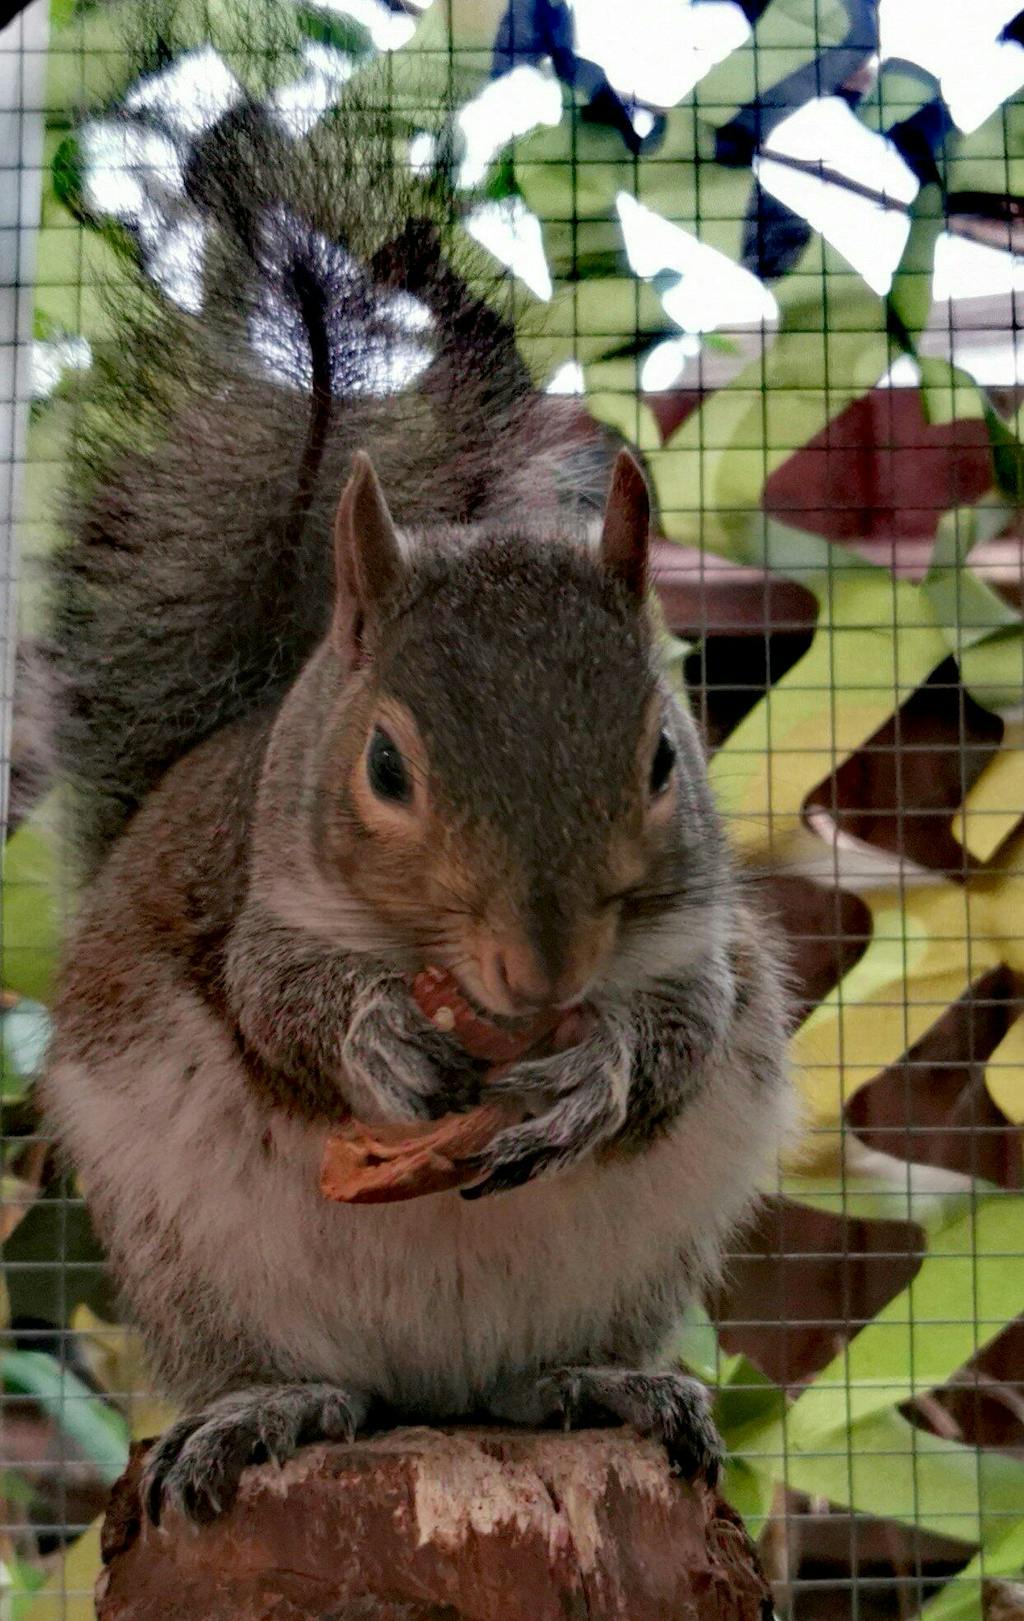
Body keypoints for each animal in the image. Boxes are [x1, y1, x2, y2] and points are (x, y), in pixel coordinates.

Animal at [40, 63, 795, 1527]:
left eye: (662, 755)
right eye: (385, 767)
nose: (541, 967)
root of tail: (433, 1393)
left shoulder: (700, 937)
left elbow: (685, 1028)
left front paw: (598, 1070)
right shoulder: (262, 910)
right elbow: (279, 1008)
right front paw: (379, 1040)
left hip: (639, 1265)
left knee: (530, 1376)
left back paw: (594, 1382)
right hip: (192, 1267)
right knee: (297, 1372)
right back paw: (272, 1404)